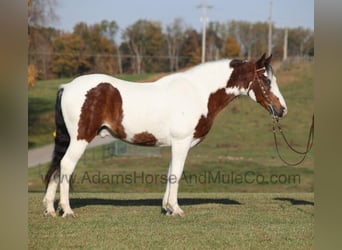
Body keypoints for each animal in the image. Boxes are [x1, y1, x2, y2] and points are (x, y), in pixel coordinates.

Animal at [44, 53, 288, 217]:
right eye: (266, 80)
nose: (282, 110)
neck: (197, 93)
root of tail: (67, 86)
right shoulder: (182, 142)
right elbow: (176, 174)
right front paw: (176, 208)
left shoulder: (176, 145)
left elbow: (171, 172)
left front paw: (167, 208)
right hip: (80, 139)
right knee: (65, 166)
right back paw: (67, 210)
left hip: (69, 140)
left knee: (56, 167)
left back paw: (50, 209)